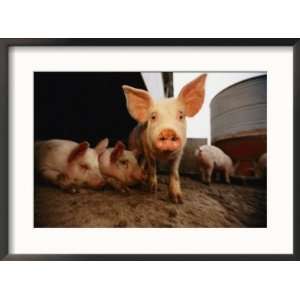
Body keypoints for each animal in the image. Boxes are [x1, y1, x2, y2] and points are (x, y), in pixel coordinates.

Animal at [122, 74, 206, 203]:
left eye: (181, 115)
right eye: (153, 116)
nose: (168, 131)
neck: (163, 155)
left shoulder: (179, 153)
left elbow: (174, 172)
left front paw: (177, 200)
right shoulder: (148, 150)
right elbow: (152, 167)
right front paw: (152, 191)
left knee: (142, 162)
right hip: (133, 145)